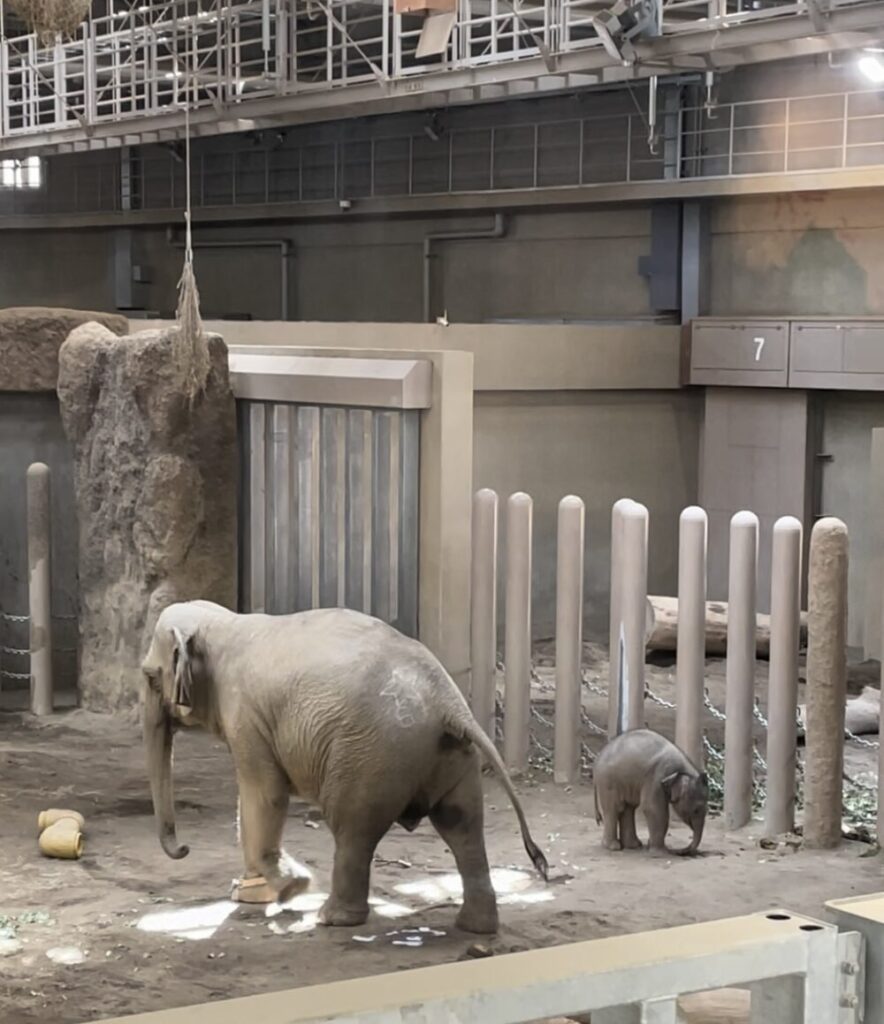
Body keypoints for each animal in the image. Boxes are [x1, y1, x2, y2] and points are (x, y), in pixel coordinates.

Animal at [141, 598, 549, 937]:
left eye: (149, 677)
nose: (184, 849)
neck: (223, 622)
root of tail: (449, 703)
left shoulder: (246, 716)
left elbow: (264, 794)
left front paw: (289, 886)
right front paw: (254, 890)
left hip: (371, 756)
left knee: (352, 828)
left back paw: (331, 918)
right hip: (449, 757)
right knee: (462, 826)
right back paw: (475, 927)